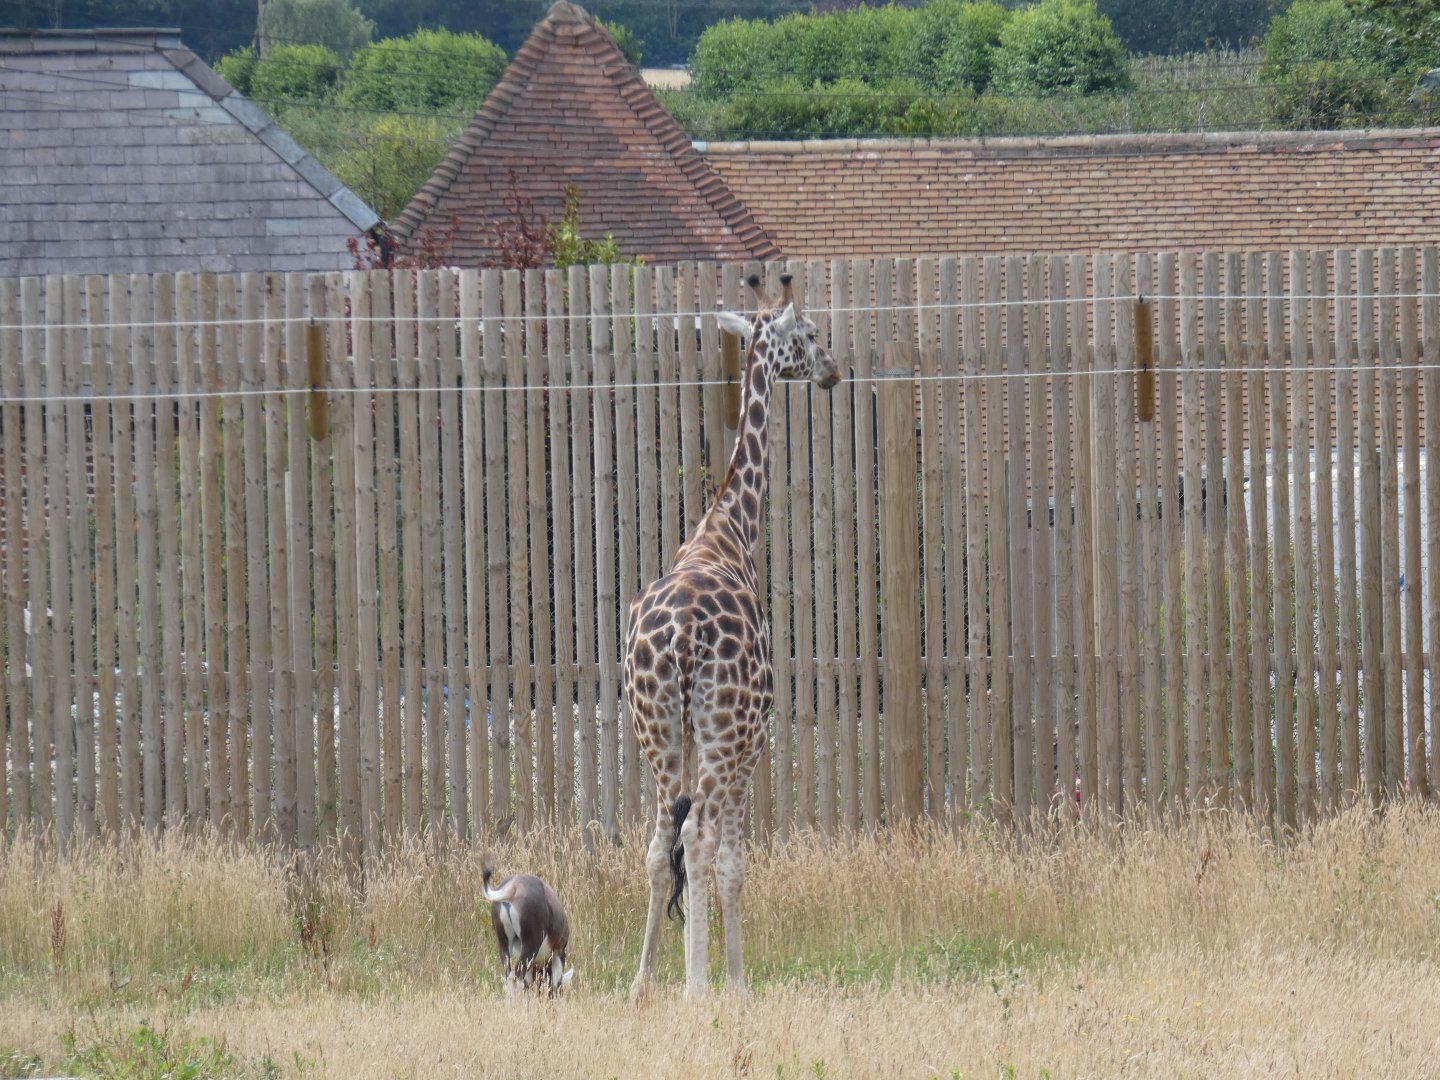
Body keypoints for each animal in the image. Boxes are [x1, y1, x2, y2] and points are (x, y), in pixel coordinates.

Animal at [626, 272, 841, 1001]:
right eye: (811, 334)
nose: (832, 370)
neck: (728, 531)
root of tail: (680, 638)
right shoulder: (755, 738)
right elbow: (734, 858)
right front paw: (737, 984)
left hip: (656, 726)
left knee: (658, 841)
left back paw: (641, 986)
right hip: (723, 731)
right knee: (696, 835)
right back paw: (696, 989)